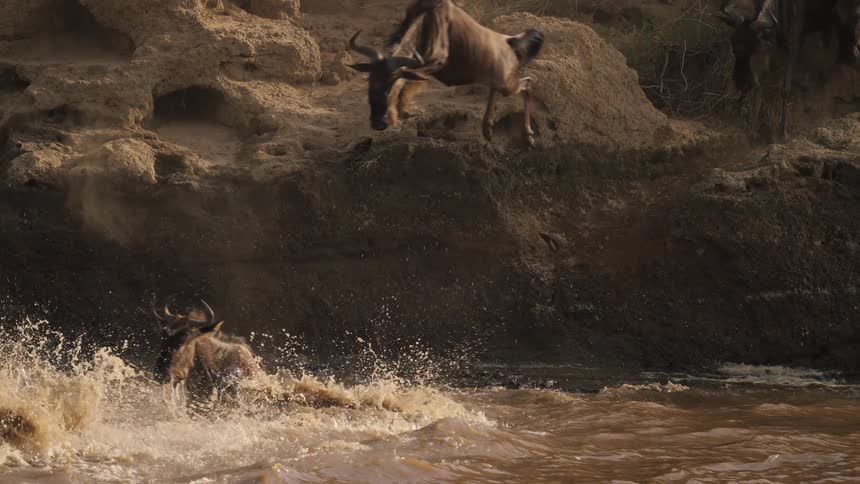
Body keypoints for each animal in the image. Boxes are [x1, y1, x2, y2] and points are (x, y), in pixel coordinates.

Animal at [347, 0, 544, 146]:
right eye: (370, 82)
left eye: (389, 85)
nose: (377, 124)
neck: (428, 14)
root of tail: (511, 41)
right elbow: (410, 79)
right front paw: (402, 113)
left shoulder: (435, 61)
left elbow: (406, 78)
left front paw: (401, 112)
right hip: (499, 82)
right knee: (497, 89)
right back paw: (487, 129)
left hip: (508, 85)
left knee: (528, 84)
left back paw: (529, 136)